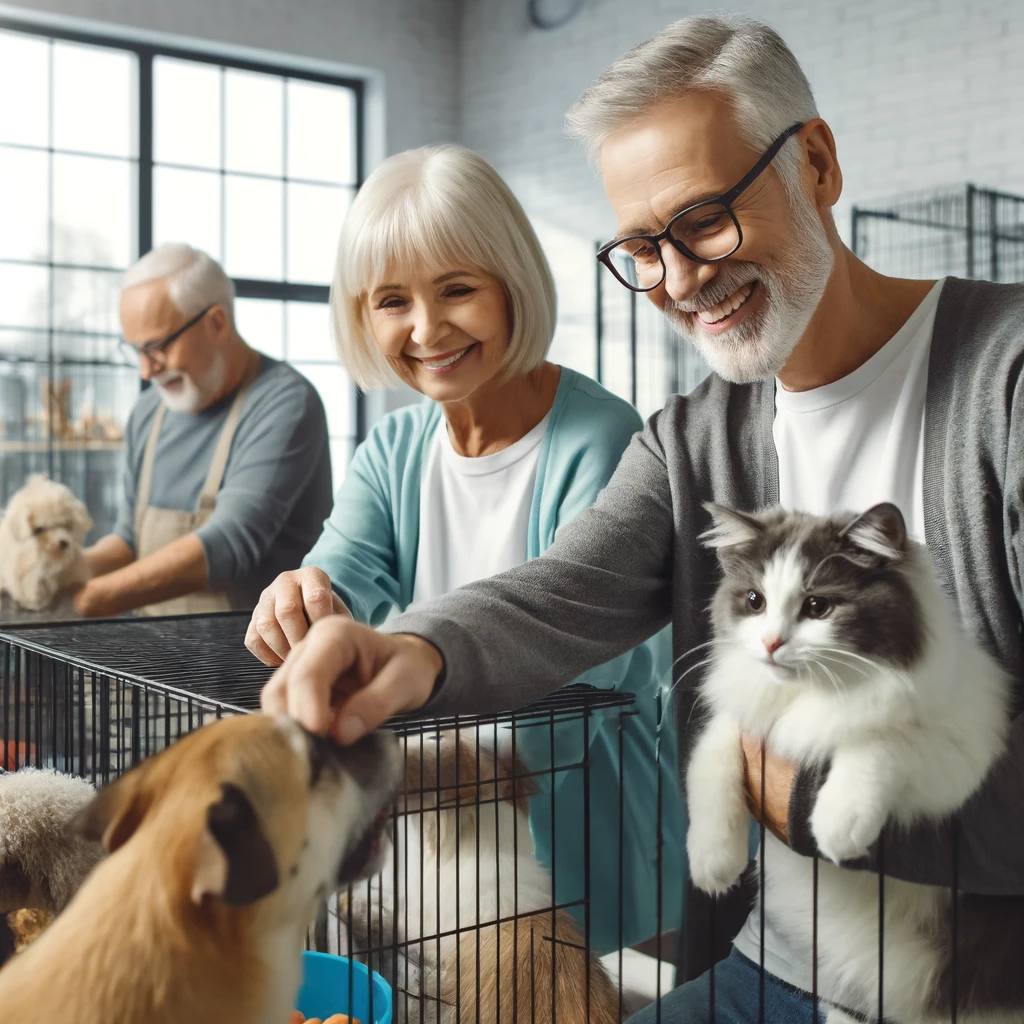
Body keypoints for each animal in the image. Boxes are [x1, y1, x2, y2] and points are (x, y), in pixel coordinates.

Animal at [688, 501, 1015, 1024]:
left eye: (818, 607)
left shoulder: (961, 754)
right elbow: (710, 769)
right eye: (755, 601)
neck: (815, 693)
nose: (771, 644)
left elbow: (877, 740)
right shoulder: (739, 727)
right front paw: (713, 861)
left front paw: (838, 822)